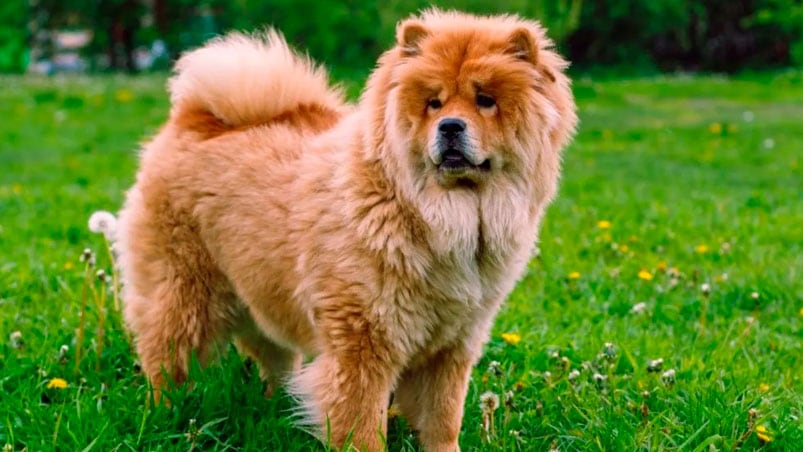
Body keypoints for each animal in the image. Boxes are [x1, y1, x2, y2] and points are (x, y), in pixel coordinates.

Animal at [116, 7, 576, 452]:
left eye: (485, 101)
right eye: (433, 103)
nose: (450, 126)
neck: (439, 216)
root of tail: (193, 118)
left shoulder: (453, 342)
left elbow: (443, 418)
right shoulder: (363, 339)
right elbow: (362, 422)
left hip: (261, 295)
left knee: (272, 358)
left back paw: (274, 409)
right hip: (184, 289)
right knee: (165, 355)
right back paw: (165, 415)